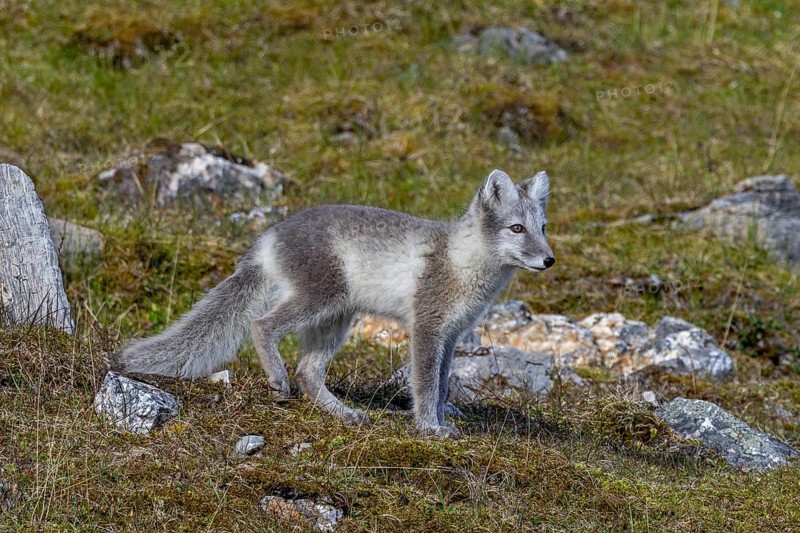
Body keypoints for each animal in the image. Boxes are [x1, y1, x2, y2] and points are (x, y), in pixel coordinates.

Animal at [111, 169, 554, 438]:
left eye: (543, 228)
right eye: (516, 228)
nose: (549, 260)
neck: (465, 263)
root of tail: (268, 236)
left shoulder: (451, 335)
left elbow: (442, 385)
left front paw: (442, 422)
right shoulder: (427, 327)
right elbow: (426, 386)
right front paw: (429, 428)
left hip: (335, 319)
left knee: (308, 372)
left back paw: (344, 414)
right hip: (321, 298)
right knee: (263, 327)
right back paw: (279, 381)